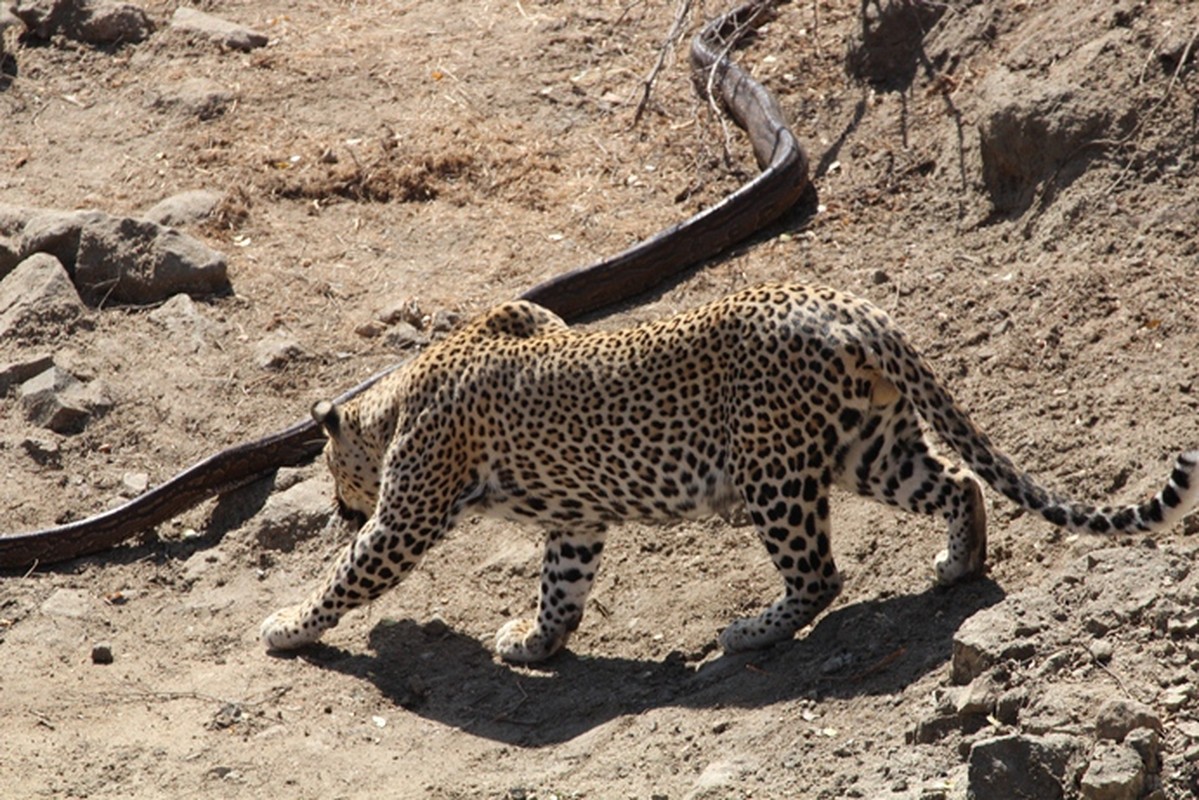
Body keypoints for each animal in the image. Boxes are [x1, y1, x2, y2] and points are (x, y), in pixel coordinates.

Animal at [257, 283, 1194, 662]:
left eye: (337, 479)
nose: (339, 508)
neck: (394, 404)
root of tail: (847, 304)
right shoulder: (575, 520)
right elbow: (562, 583)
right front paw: (537, 642)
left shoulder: (407, 514)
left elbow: (347, 574)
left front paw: (288, 624)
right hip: (869, 445)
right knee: (958, 484)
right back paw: (957, 566)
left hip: (772, 473)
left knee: (820, 574)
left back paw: (748, 634)